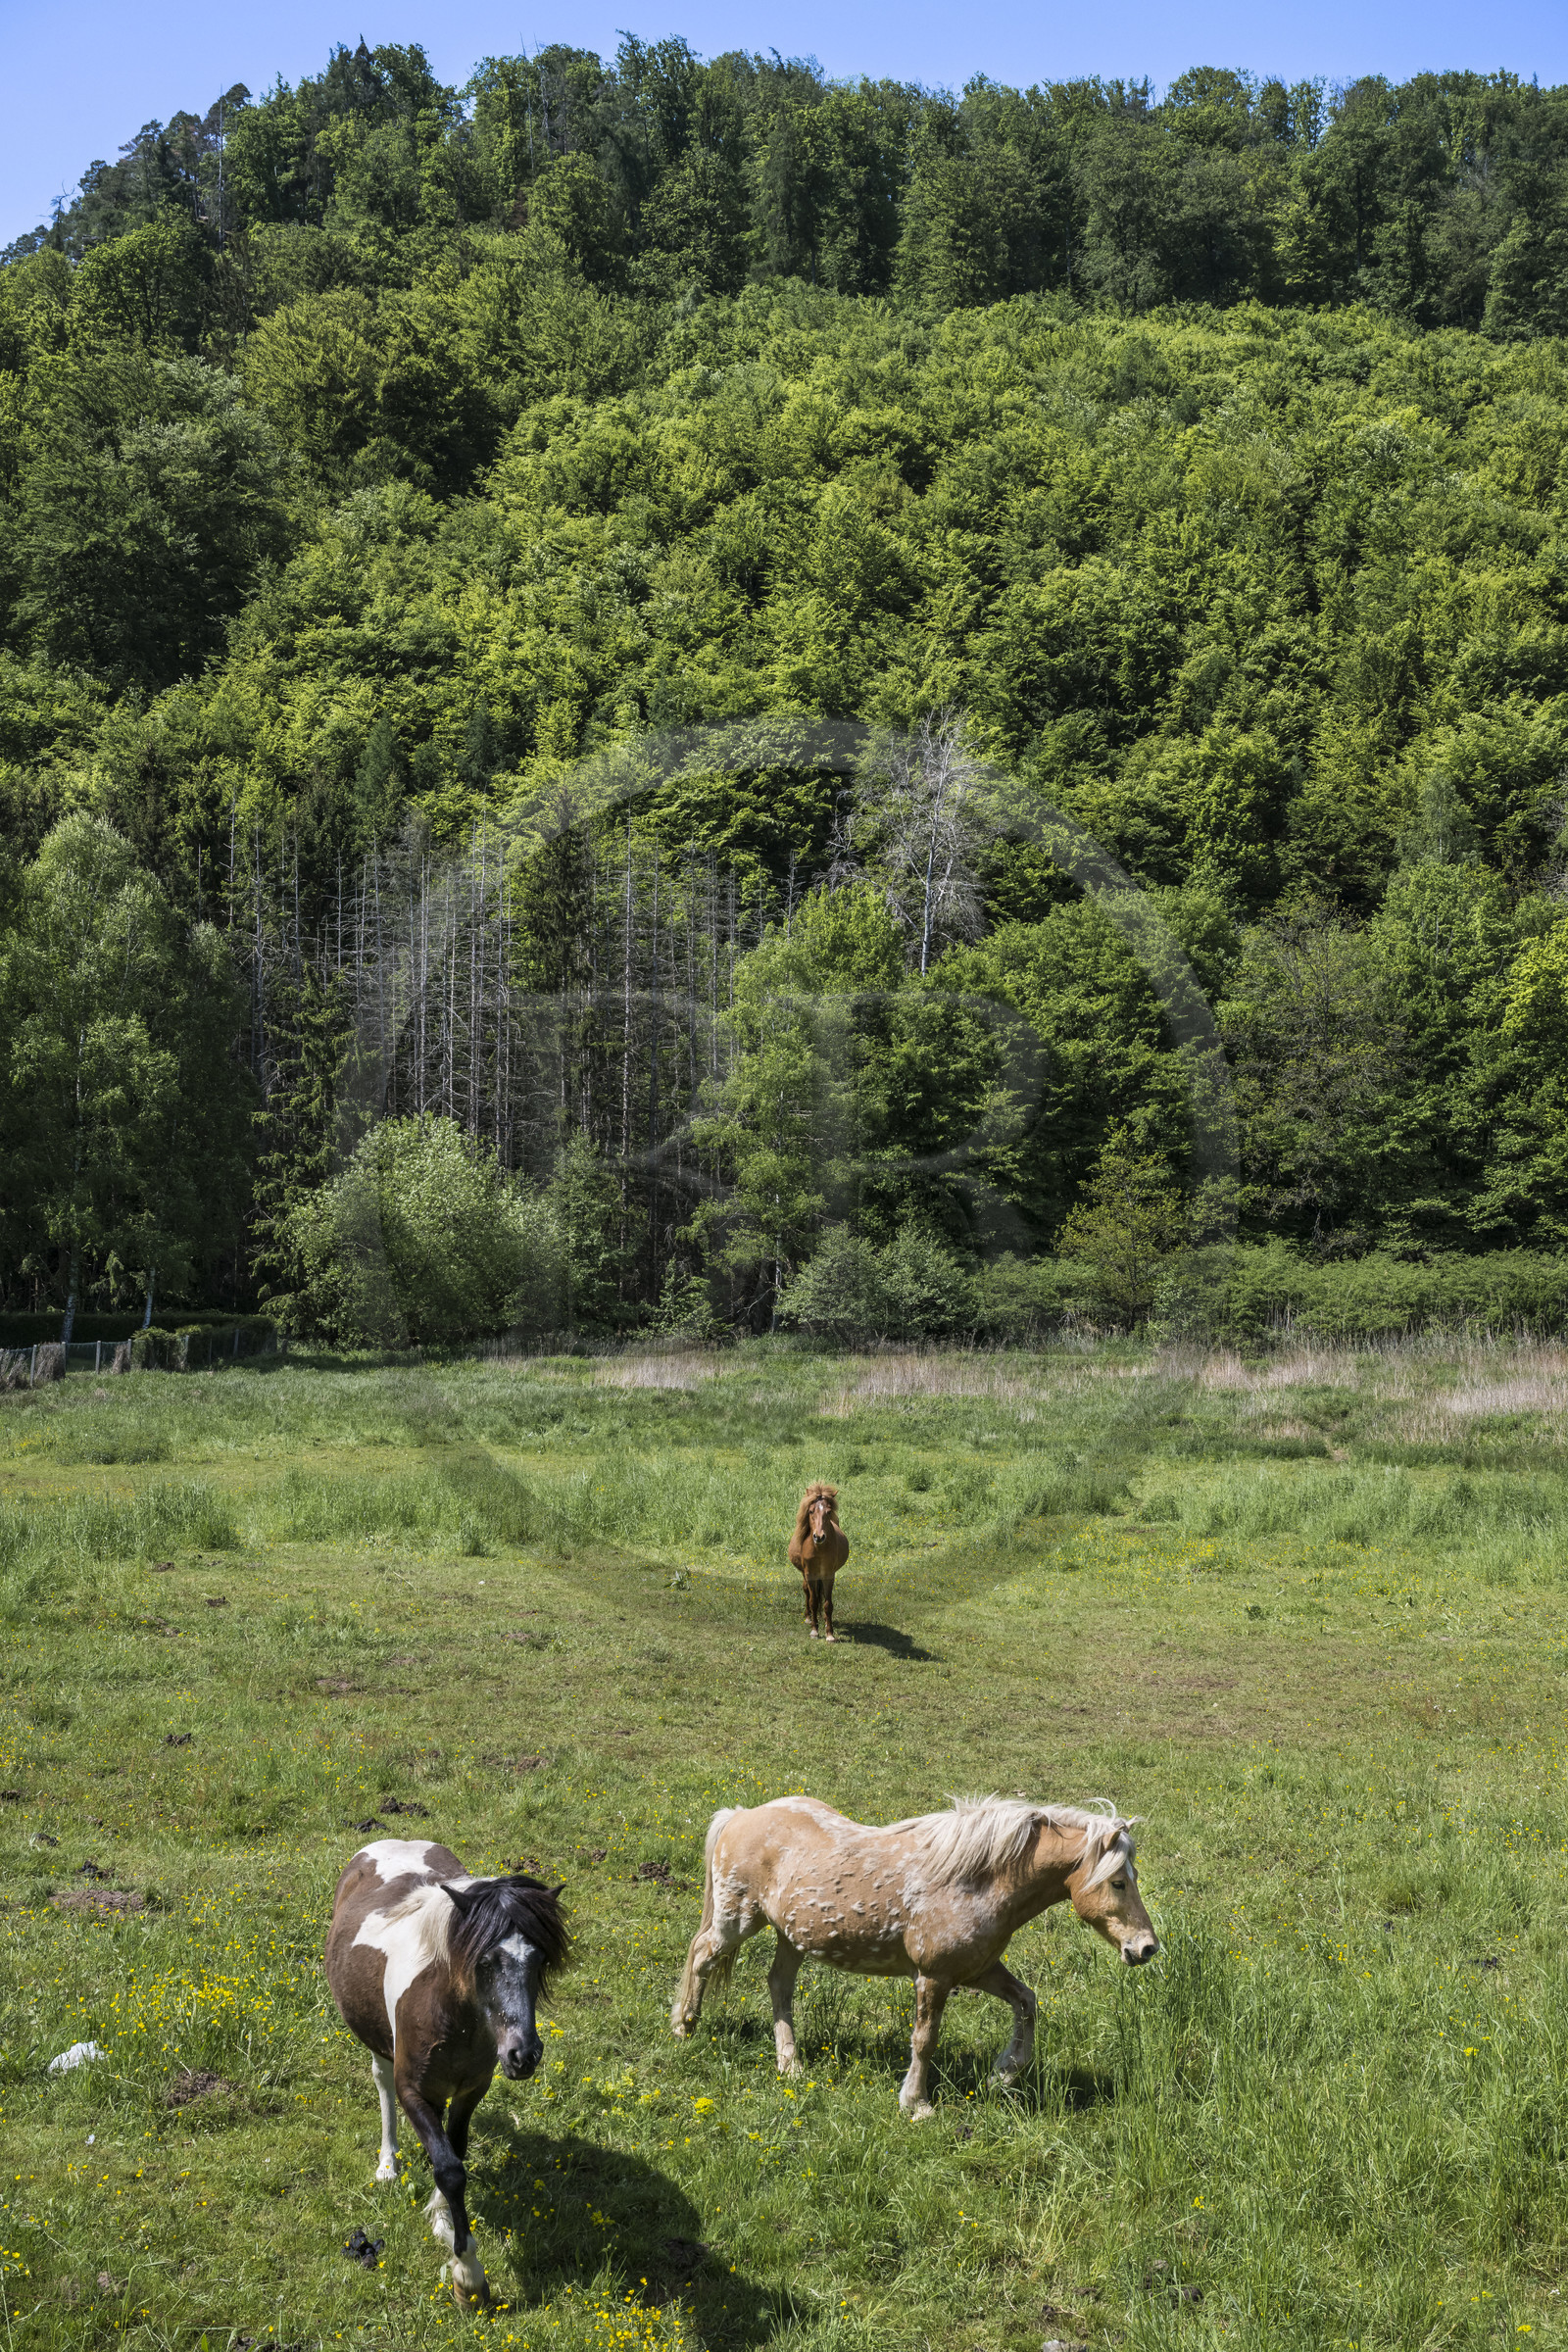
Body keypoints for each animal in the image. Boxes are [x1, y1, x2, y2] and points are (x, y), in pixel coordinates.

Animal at [325, 1838, 569, 2304]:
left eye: (540, 1959)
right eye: (485, 1961)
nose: (523, 2055)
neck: (452, 2018)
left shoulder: (471, 2090)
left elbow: (453, 2153)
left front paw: (440, 2218)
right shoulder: (413, 2092)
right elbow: (451, 2169)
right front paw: (467, 2272)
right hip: (379, 2046)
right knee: (382, 2084)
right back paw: (388, 2166)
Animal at [670, 1793, 1156, 2118]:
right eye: (1118, 1882)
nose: (1146, 1947)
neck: (975, 1881)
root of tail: (739, 1816)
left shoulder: (979, 1970)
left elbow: (1027, 2002)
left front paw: (1003, 2074)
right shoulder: (934, 1976)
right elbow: (925, 2039)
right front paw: (917, 2103)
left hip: (793, 1937)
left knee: (778, 1985)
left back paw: (790, 2065)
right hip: (737, 1920)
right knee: (701, 1955)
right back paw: (684, 2027)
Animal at [789, 1483, 849, 1640]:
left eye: (828, 1512)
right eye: (810, 1511)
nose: (819, 1537)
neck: (819, 1549)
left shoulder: (829, 1575)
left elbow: (827, 1604)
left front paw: (829, 1633)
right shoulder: (810, 1574)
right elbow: (813, 1601)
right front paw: (814, 1630)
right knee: (807, 1592)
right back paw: (808, 1618)